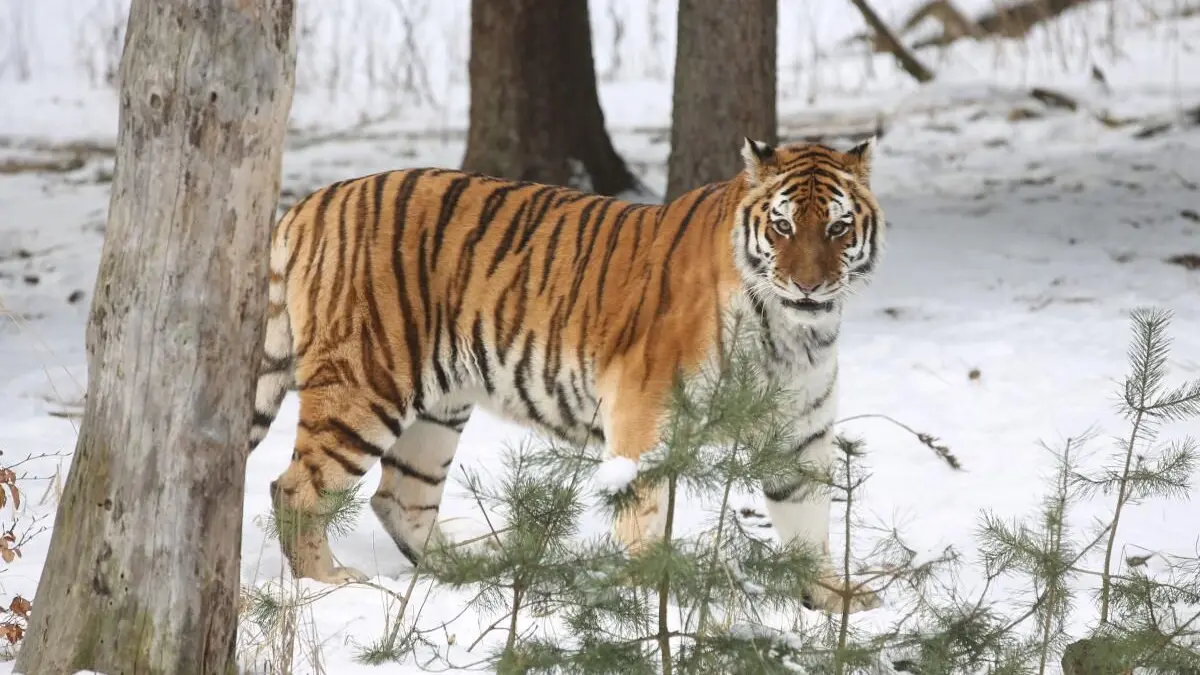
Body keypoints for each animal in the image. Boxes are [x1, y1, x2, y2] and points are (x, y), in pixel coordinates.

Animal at [248, 136, 887, 613]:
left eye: (837, 228)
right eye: (782, 227)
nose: (809, 285)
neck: (790, 334)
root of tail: (310, 202)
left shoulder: (798, 433)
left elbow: (807, 522)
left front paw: (834, 601)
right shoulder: (644, 417)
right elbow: (644, 516)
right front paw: (655, 601)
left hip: (439, 406)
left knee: (399, 497)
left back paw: (469, 568)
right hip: (366, 383)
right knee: (296, 487)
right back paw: (329, 583)